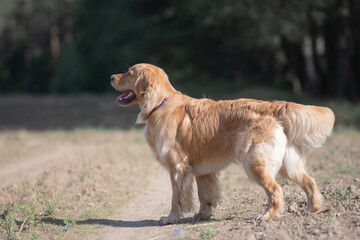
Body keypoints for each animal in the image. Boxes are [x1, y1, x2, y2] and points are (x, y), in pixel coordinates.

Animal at [111, 62, 336, 224]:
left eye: (129, 72)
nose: (111, 77)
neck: (160, 104)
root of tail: (273, 107)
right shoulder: (202, 170)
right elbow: (205, 195)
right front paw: (203, 215)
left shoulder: (177, 167)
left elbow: (176, 197)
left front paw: (171, 218)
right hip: (288, 164)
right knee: (309, 182)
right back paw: (314, 209)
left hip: (255, 163)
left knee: (276, 190)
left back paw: (266, 216)